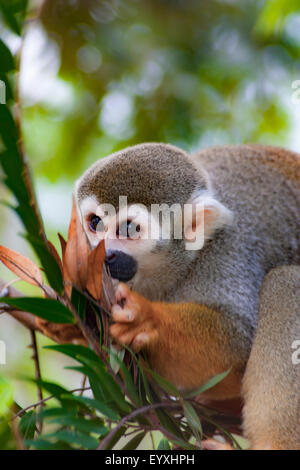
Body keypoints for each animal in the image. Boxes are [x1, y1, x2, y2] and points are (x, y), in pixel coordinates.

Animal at [72, 142, 300, 448]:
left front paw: (148, 320)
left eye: (129, 228)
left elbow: (234, 347)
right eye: (95, 222)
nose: (103, 255)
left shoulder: (229, 251)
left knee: (285, 283)